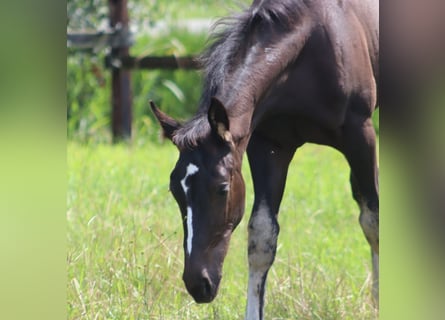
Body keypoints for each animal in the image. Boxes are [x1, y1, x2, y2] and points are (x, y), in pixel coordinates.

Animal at [151, 1, 376, 318]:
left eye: (222, 188)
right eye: (175, 191)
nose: (198, 283)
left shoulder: (361, 135)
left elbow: (373, 222)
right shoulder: (268, 146)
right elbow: (262, 237)